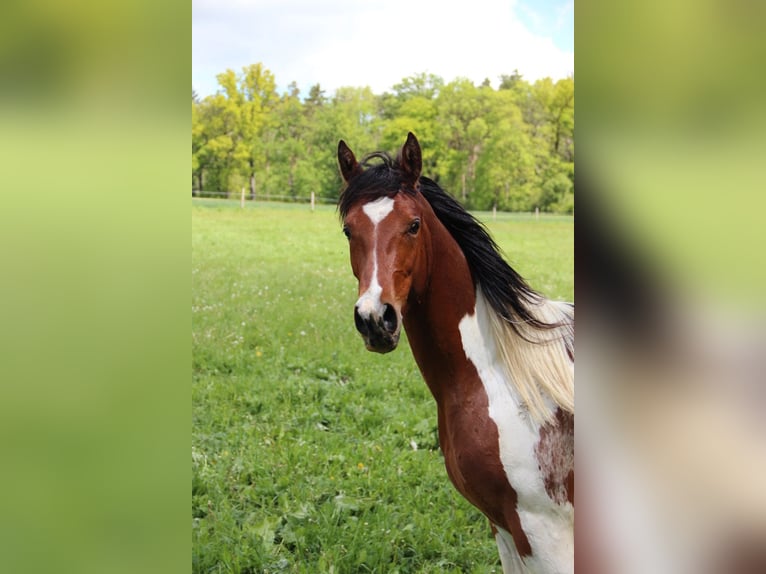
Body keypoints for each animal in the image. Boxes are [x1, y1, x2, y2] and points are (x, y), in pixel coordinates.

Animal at [336, 133, 574, 574]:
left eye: (413, 225)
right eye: (348, 230)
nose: (375, 319)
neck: (503, 379)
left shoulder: (544, 532)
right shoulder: (505, 528)